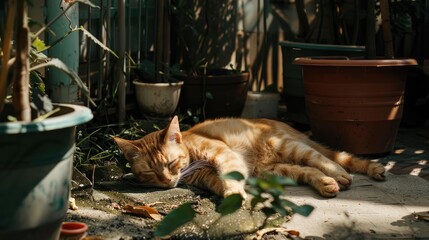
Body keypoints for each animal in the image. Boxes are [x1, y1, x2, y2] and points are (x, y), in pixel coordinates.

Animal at [113, 115, 384, 198]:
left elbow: (229, 176)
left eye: (170, 163)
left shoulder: (224, 154)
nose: (167, 181)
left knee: (324, 159)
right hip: (274, 170)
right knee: (310, 170)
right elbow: (220, 183)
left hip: (289, 147)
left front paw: (234, 193)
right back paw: (328, 183)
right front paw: (231, 195)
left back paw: (340, 174)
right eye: (150, 172)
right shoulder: (206, 178)